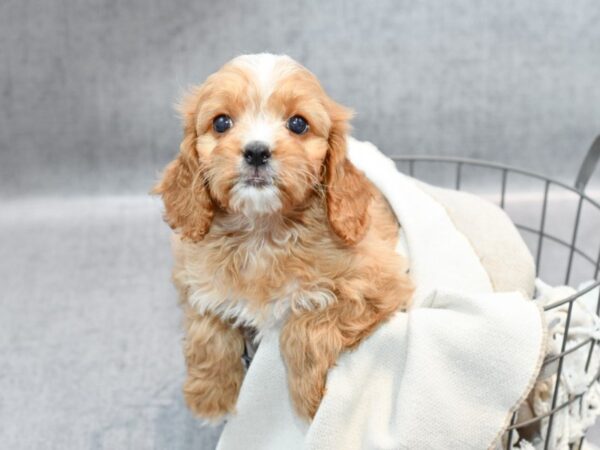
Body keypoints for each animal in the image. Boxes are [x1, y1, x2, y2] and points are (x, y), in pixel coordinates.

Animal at [154, 54, 412, 424]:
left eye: (298, 124)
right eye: (221, 122)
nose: (256, 151)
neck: (262, 232)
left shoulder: (378, 285)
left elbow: (304, 325)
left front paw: (310, 402)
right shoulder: (194, 280)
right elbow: (206, 332)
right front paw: (211, 400)